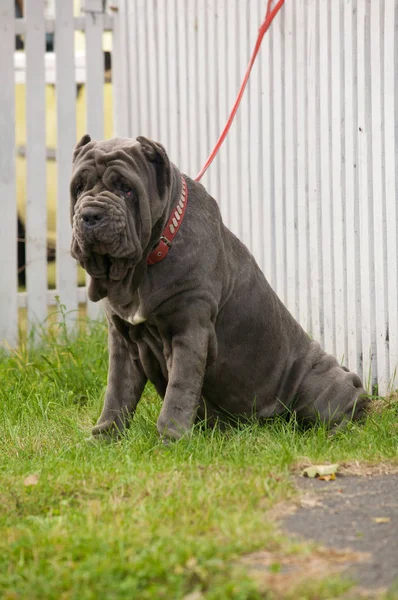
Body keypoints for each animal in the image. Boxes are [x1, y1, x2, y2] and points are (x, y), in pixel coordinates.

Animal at [70, 134, 368, 438]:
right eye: (78, 187)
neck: (148, 260)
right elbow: (117, 393)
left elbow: (179, 390)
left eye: (126, 188)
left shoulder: (189, 328)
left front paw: (170, 438)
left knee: (345, 407)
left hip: (321, 384)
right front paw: (103, 437)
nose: (90, 214)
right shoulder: (123, 339)